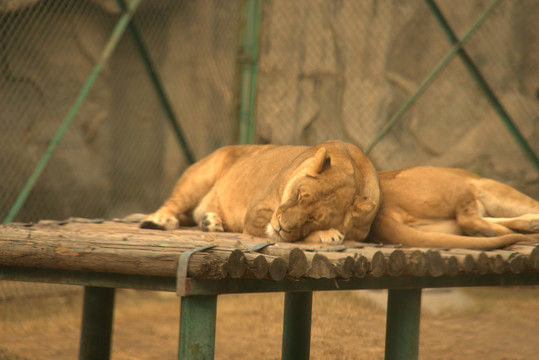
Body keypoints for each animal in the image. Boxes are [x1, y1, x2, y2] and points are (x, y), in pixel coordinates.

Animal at [141, 141, 382, 245]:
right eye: (298, 196)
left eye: (313, 219)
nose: (281, 226)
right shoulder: (256, 212)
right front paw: (329, 235)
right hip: (201, 175)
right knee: (172, 203)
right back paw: (161, 220)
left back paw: (211, 222)